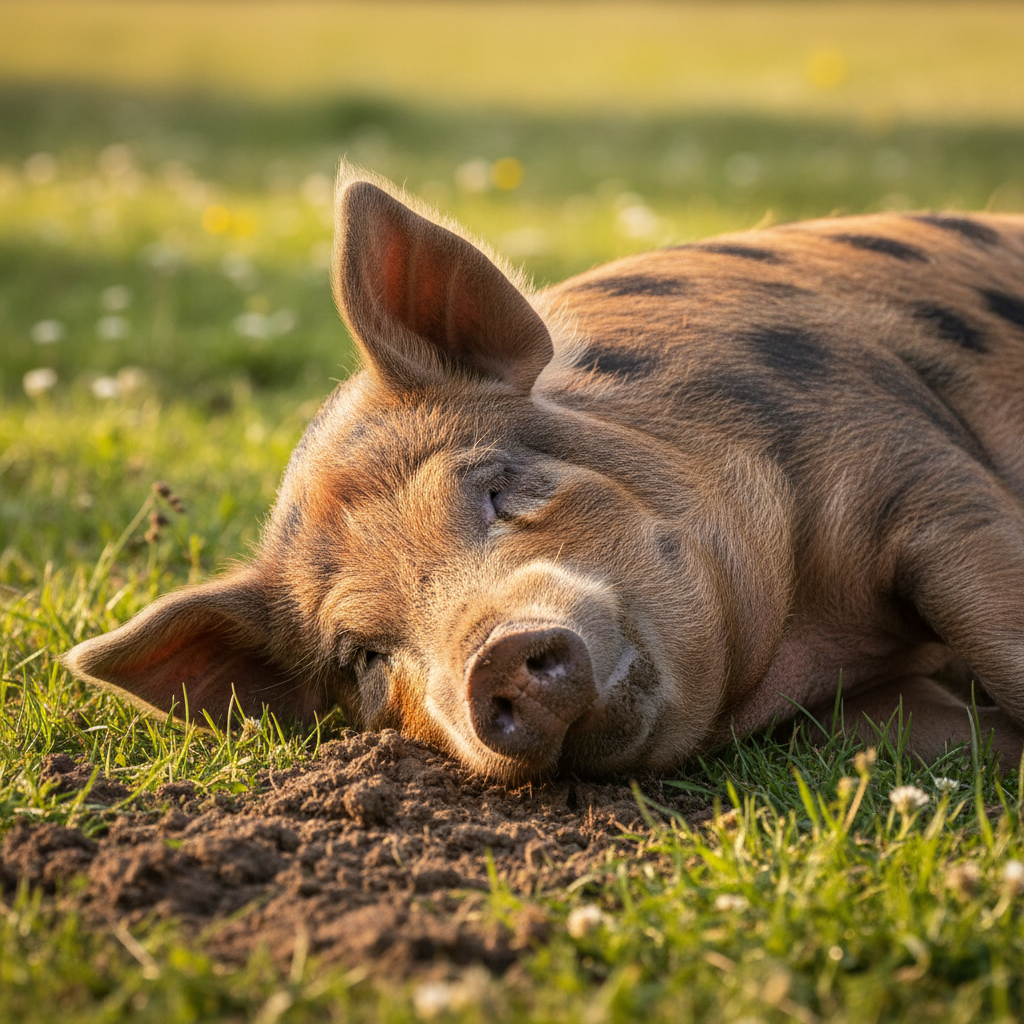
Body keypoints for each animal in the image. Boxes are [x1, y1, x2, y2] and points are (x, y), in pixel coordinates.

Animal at [63, 167, 1024, 783]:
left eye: (498, 487)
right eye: (366, 657)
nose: (492, 657)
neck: (812, 630)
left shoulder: (912, 467)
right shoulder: (855, 707)